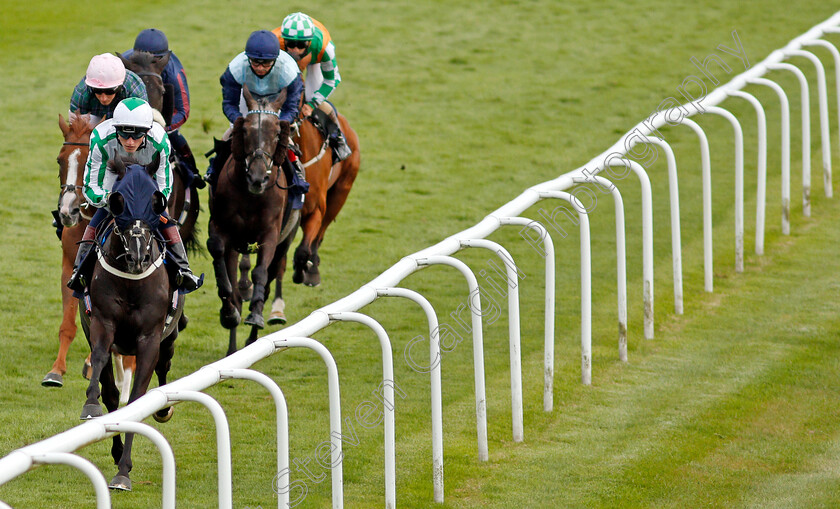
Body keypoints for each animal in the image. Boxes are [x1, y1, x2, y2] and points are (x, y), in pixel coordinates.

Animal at [41, 115, 135, 396]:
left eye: (88, 163)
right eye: (60, 160)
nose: (67, 211)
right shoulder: (70, 266)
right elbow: (68, 324)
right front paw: (56, 371)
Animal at [80, 157, 184, 490]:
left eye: (155, 200)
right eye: (118, 202)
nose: (138, 257)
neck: (131, 281)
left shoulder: (149, 338)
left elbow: (138, 400)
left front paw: (124, 472)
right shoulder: (101, 322)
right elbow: (101, 362)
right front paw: (91, 405)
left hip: (170, 336)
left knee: (164, 366)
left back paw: (163, 408)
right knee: (113, 394)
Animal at [208, 85, 300, 356]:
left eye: (277, 132)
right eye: (246, 130)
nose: (258, 178)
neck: (251, 195)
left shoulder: (270, 233)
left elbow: (260, 273)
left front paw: (256, 316)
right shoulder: (223, 230)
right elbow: (219, 257)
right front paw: (229, 312)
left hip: (285, 240)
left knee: (269, 280)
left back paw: (252, 339)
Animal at [266, 105, 358, 324]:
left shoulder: (315, 211)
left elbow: (302, 251)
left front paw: (302, 272)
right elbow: (279, 260)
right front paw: (276, 309)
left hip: (341, 192)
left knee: (320, 234)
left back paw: (312, 269)